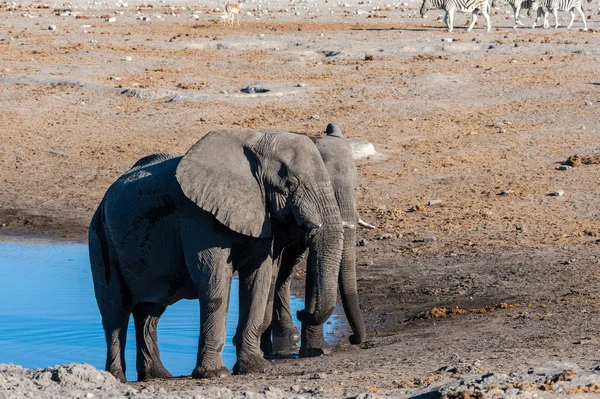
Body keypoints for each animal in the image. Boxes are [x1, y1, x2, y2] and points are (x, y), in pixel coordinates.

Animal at [86, 130, 344, 382]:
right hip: (100, 238)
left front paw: (254, 368)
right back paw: (117, 378)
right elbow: (214, 281)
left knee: (149, 313)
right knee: (115, 313)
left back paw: (157, 376)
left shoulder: (262, 214)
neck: (253, 141)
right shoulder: (198, 216)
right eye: (291, 184)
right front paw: (215, 373)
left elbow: (258, 279)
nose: (302, 312)